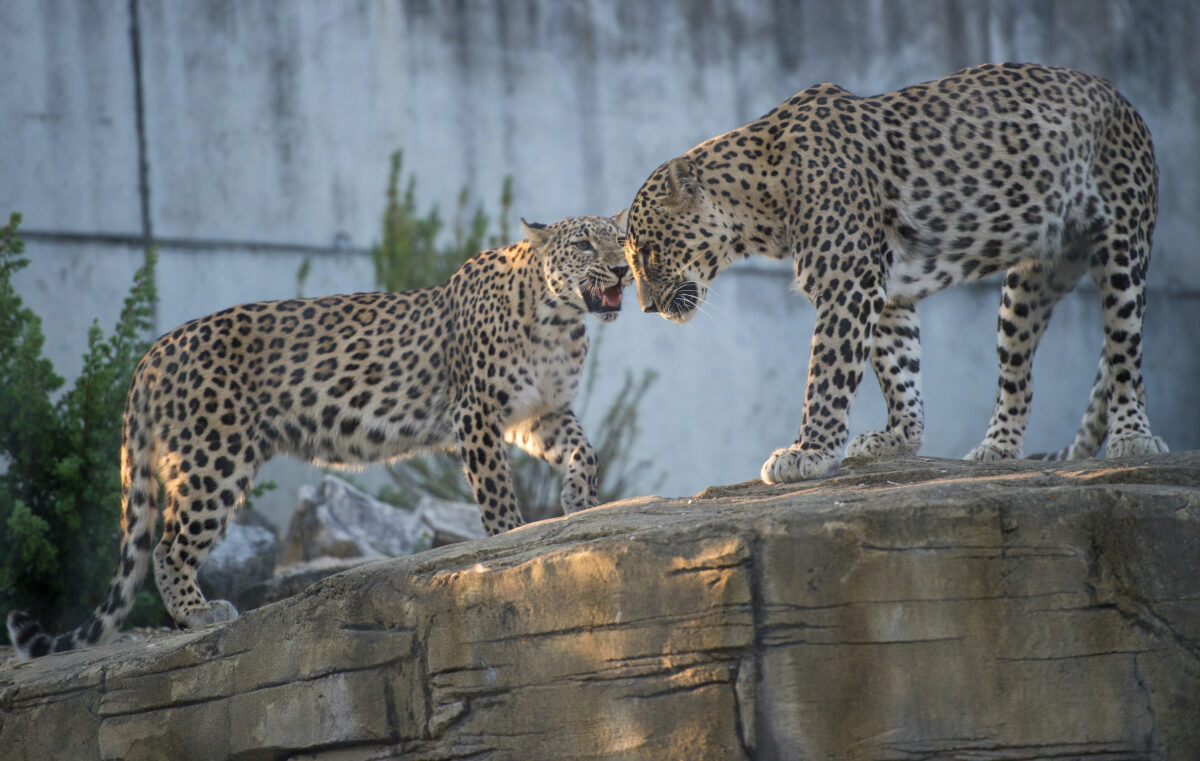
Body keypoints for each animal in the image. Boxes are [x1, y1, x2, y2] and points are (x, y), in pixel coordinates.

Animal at [7, 210, 628, 652]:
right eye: (582, 245)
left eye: (620, 240)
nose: (623, 269)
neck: (559, 320)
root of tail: (153, 351)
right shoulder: (475, 412)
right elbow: (496, 491)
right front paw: (510, 541)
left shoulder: (539, 414)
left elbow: (586, 449)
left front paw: (581, 500)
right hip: (214, 457)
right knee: (167, 544)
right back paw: (199, 613)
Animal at [624, 62, 1166, 482]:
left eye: (648, 254)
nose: (646, 308)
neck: (761, 200)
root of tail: (1121, 98)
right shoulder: (886, 291)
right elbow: (900, 371)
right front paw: (899, 440)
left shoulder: (847, 286)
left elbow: (827, 376)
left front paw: (808, 453)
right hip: (1027, 284)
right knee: (1018, 372)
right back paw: (996, 449)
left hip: (1122, 247)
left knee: (1124, 352)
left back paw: (1133, 437)